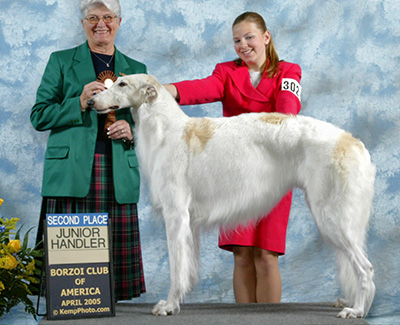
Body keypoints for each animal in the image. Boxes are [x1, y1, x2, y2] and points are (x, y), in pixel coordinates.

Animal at [87, 73, 376, 316]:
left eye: (122, 84)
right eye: (115, 82)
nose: (90, 101)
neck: (166, 131)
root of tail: (353, 142)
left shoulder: (176, 215)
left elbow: (176, 269)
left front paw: (169, 305)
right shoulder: (189, 223)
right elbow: (187, 269)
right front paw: (179, 300)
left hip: (331, 217)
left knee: (366, 268)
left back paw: (357, 310)